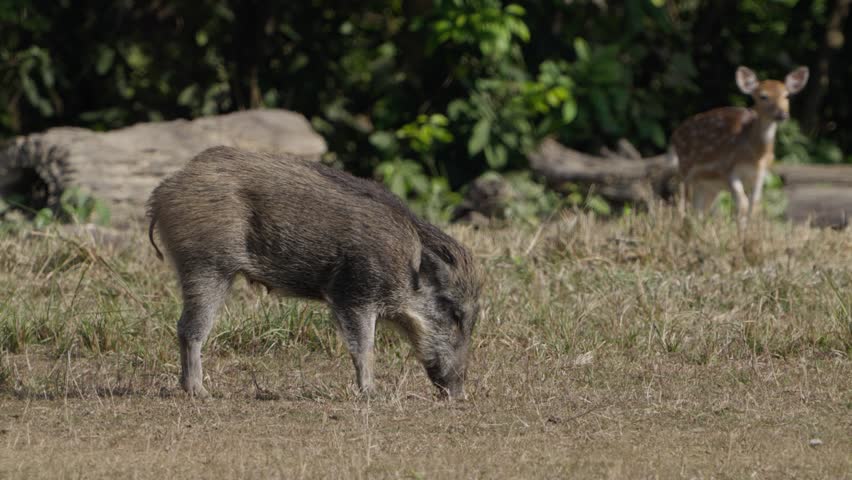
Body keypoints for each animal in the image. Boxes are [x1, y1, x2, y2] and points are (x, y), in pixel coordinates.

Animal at [146, 146, 481, 399]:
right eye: (454, 313)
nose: (459, 395)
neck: (405, 266)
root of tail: (162, 193)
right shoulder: (353, 295)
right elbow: (364, 347)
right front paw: (372, 394)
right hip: (207, 265)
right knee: (189, 329)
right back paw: (201, 393)